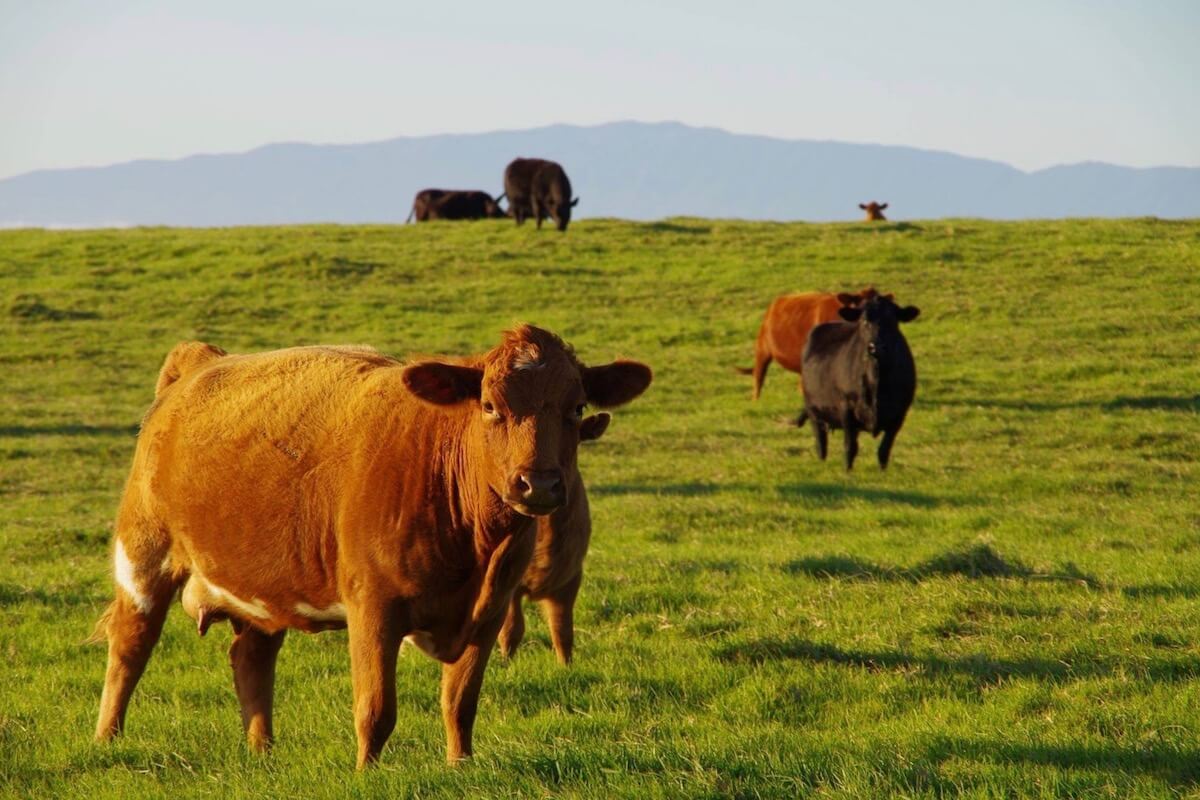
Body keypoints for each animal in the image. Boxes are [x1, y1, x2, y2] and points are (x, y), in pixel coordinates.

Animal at [92, 326, 653, 767]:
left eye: (576, 407)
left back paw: (262, 750)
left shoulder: (490, 612)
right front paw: (367, 772)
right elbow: (377, 707)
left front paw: (460, 765)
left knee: (251, 657)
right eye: (491, 405)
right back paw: (107, 740)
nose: (539, 484)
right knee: (130, 649)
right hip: (144, 557)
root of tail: (200, 362)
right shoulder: (373, 607)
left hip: (260, 588)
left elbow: (460, 701)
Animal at [797, 294, 919, 470]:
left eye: (893, 320)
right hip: (813, 410)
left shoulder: (900, 413)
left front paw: (882, 472)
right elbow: (850, 447)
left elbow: (884, 450)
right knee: (821, 443)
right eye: (864, 321)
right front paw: (847, 471)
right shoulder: (846, 407)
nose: (876, 347)